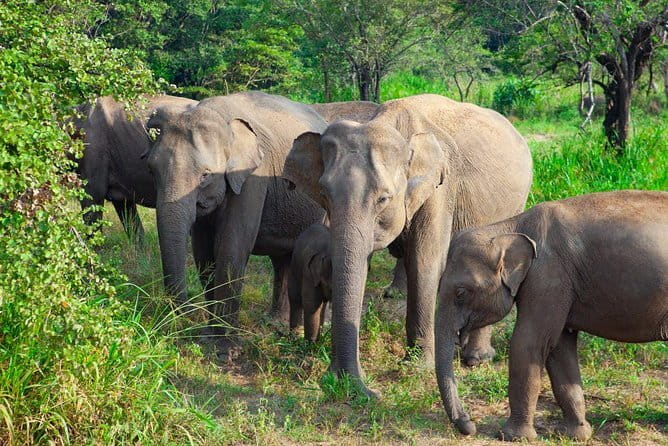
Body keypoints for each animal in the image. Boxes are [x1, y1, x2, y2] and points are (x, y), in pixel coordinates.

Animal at [145, 91, 337, 355]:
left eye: (205, 175)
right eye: (152, 171)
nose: (183, 316)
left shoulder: (253, 177)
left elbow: (231, 247)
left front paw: (225, 349)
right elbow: (204, 254)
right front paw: (209, 335)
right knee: (282, 261)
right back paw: (274, 322)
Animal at [284, 93, 533, 396]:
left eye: (383, 199)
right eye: (324, 194)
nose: (353, 381)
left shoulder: (440, 186)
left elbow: (425, 261)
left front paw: (416, 365)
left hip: (515, 205)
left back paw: (476, 359)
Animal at [435, 190, 668, 441]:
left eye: (461, 293)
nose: (469, 425)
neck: (510, 226)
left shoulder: (548, 277)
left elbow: (528, 343)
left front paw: (514, 437)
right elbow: (558, 347)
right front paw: (576, 434)